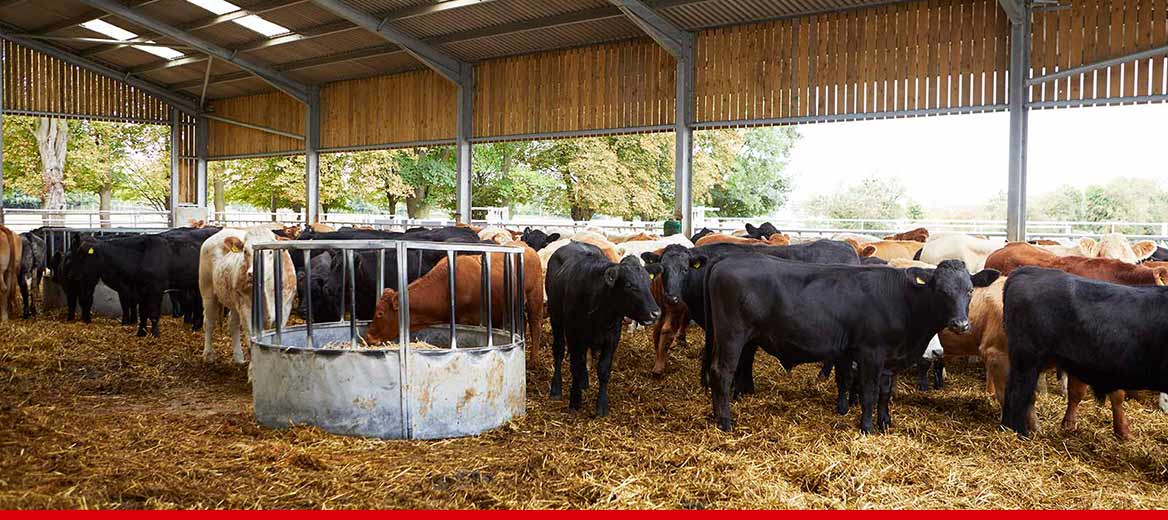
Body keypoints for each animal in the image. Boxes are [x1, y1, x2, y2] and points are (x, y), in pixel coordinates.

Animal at [199, 225, 296, 362]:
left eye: (270, 252)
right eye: (245, 251)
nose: (252, 273)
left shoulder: (285, 309)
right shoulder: (246, 308)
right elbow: (252, 341)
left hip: (233, 300)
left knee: (232, 324)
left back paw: (239, 358)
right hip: (207, 291)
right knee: (209, 322)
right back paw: (208, 354)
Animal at [366, 240, 544, 352]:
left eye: (380, 313)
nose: (368, 337)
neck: (446, 286)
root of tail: (526, 247)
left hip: (535, 298)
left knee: (535, 325)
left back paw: (534, 361)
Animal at [544, 240, 658, 416]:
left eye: (649, 282)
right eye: (629, 285)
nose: (656, 313)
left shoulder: (612, 337)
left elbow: (603, 369)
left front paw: (602, 406)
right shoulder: (573, 335)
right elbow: (575, 365)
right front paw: (575, 401)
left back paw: (584, 382)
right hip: (556, 319)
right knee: (559, 351)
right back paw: (556, 389)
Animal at [700, 257, 995, 432]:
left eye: (969, 290)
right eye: (941, 290)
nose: (960, 324)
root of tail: (726, 261)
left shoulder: (887, 359)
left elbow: (885, 392)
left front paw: (885, 423)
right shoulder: (870, 353)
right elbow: (868, 392)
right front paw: (867, 427)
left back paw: (717, 416)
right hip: (732, 335)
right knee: (721, 373)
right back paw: (725, 422)